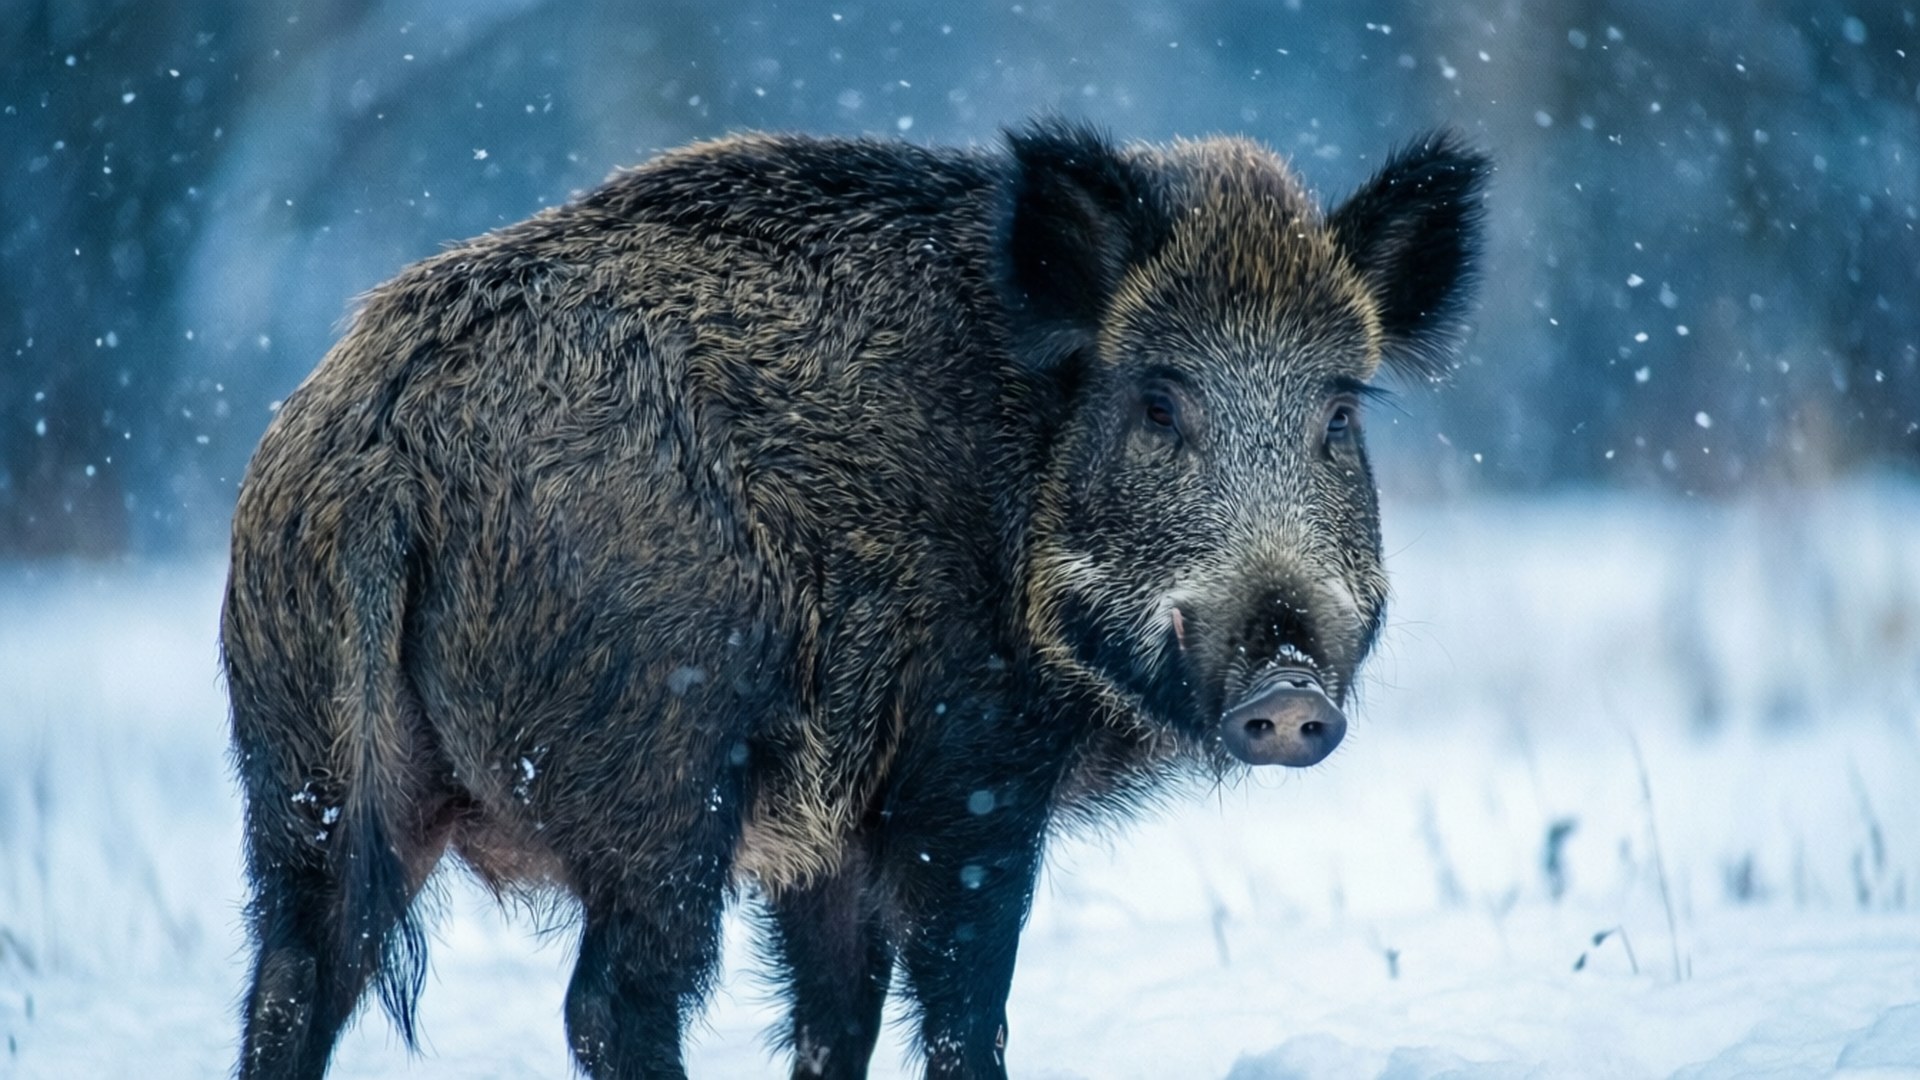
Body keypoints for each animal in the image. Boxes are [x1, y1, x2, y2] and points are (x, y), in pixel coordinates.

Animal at [222, 119, 1487, 1079]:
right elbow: (963, 1013)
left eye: (1339, 413)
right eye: (1160, 403)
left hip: (303, 768)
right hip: (659, 776)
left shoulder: (826, 838)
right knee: (610, 1003)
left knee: (293, 983)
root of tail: (388, 436)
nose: (1288, 688)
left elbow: (840, 1019)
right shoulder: (964, 779)